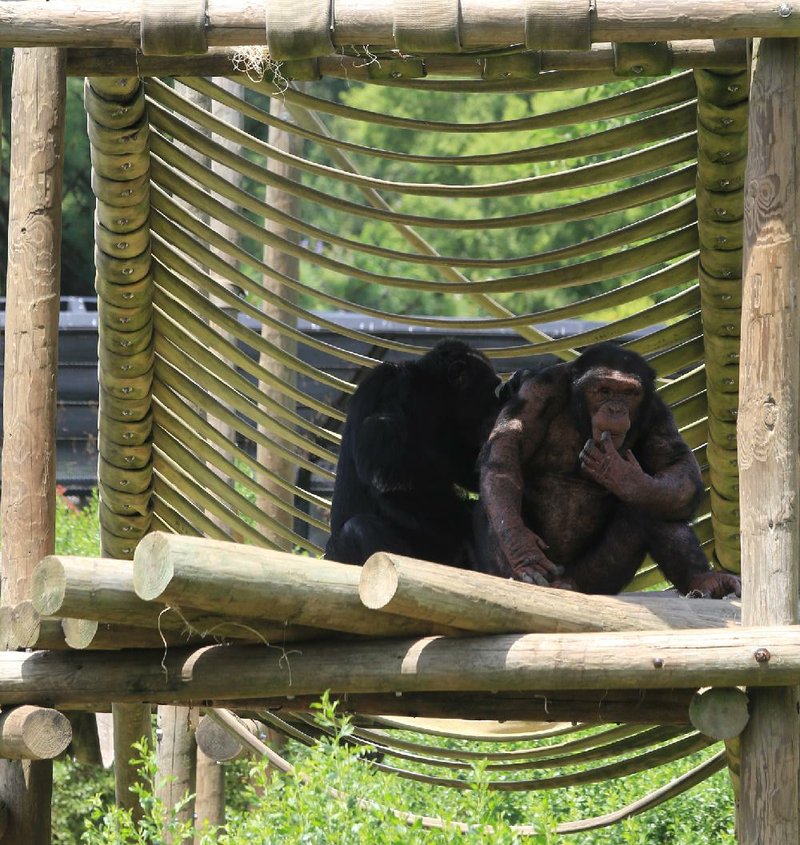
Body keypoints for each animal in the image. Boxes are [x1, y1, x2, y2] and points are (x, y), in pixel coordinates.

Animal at [324, 340, 500, 572]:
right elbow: (391, 479)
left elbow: (467, 468)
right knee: (357, 529)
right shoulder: (395, 388)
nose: (498, 404)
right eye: (492, 389)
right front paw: (467, 524)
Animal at [476, 340, 744, 596]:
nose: (615, 408)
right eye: (604, 390)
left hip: (594, 580)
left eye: (628, 392)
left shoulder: (656, 412)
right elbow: (507, 448)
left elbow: (677, 465)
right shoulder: (538, 391)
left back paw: (704, 579)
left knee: (657, 502)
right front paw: (524, 550)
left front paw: (622, 475)